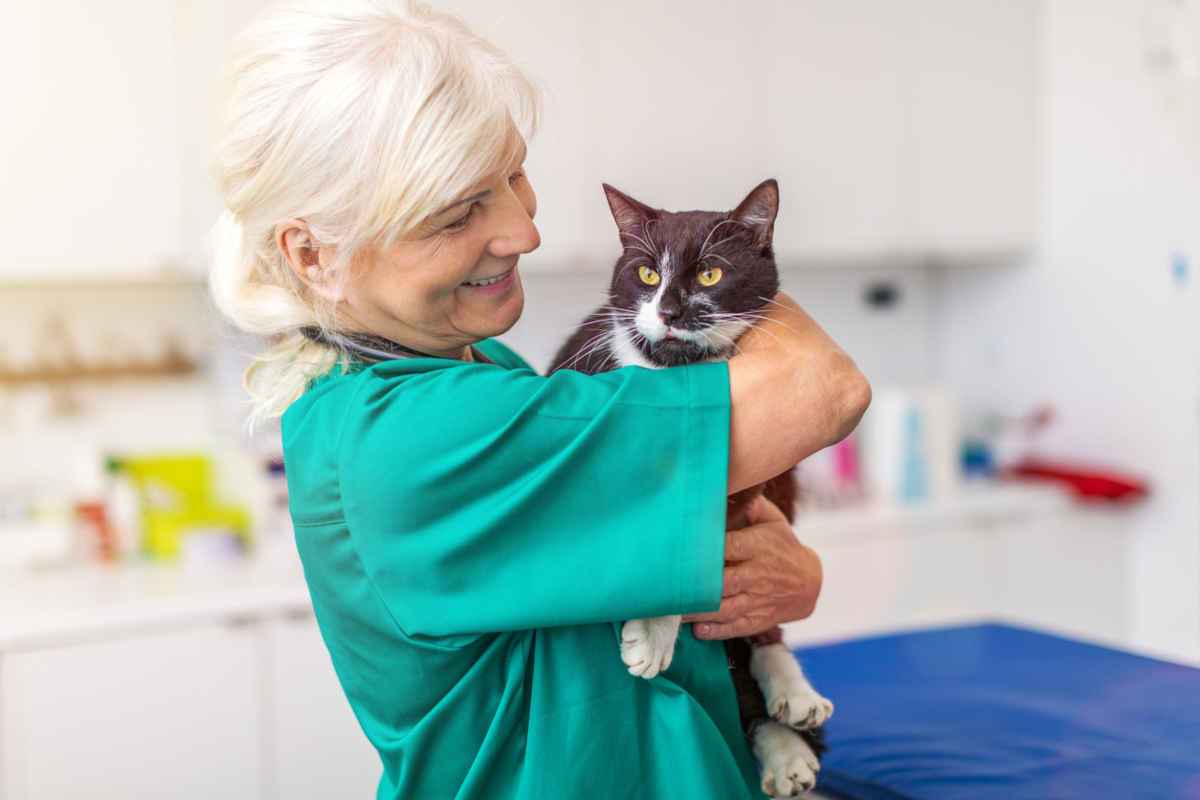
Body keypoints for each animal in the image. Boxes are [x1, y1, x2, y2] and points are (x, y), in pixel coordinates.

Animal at [549, 181, 830, 800]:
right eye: (647, 273)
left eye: (709, 274)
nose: (670, 311)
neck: (675, 372)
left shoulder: (748, 477)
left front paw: (654, 636)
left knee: (762, 630)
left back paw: (793, 706)